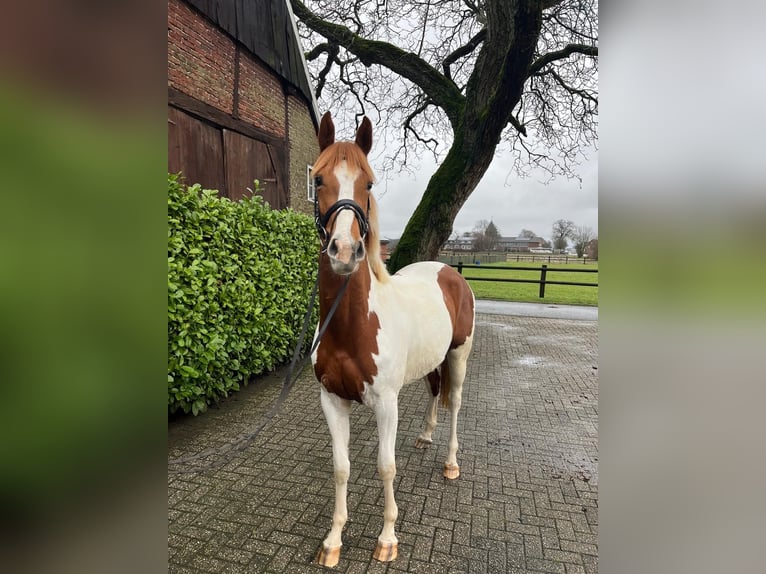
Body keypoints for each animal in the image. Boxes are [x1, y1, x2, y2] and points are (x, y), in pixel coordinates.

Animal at [310, 111, 474, 568]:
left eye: (368, 183)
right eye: (318, 178)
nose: (344, 252)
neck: (352, 327)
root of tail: (449, 271)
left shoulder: (386, 403)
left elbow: (386, 466)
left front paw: (387, 539)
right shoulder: (333, 400)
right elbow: (340, 467)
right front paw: (333, 541)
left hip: (459, 356)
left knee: (455, 401)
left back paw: (450, 462)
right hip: (432, 360)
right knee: (435, 390)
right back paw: (425, 437)